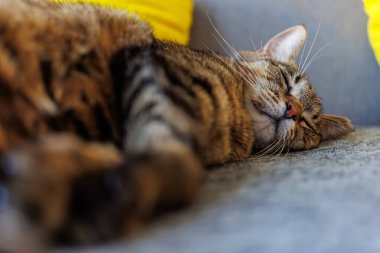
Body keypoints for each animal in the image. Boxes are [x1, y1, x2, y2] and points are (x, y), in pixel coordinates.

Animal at [0, 0, 354, 247]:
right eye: (287, 82)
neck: (234, 133)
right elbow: (179, 163)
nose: (293, 110)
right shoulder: (159, 71)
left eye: (308, 123)